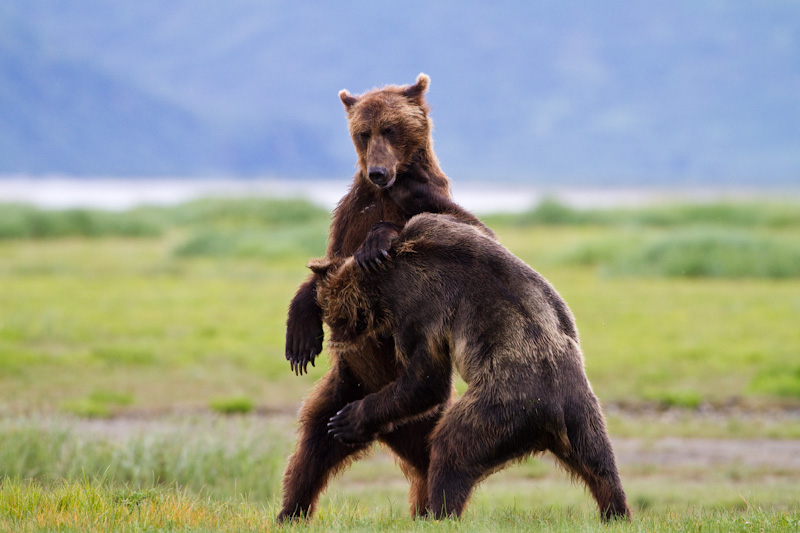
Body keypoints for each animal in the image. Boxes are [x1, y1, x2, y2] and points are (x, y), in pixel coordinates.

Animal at [278, 72, 490, 520]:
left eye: (391, 129)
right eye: (364, 132)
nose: (377, 172)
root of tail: (391, 435)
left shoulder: (431, 204)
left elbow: (467, 230)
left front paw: (378, 242)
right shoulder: (348, 218)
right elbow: (323, 274)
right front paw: (301, 336)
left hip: (423, 409)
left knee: (434, 459)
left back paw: (430, 509)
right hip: (343, 393)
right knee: (309, 452)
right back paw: (289, 511)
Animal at [310, 212, 632, 520]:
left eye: (331, 318)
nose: (334, 343)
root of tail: (554, 416)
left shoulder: (417, 309)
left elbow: (425, 381)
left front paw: (347, 419)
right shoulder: (438, 228)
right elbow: (459, 220)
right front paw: (376, 240)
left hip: (502, 407)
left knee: (451, 448)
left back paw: (439, 513)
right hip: (583, 413)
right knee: (601, 466)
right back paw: (615, 511)